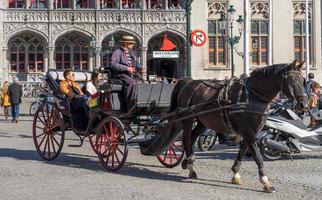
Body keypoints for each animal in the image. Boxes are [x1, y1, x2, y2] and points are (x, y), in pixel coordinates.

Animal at [169, 61, 306, 192]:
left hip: (203, 121)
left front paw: (236, 174)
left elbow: (242, 151)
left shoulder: (250, 132)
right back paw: (190, 166)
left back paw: (189, 163)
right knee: (187, 139)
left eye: (303, 80)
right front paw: (266, 181)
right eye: (291, 80)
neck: (251, 96)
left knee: (192, 138)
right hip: (188, 119)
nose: (303, 104)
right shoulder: (248, 132)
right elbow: (257, 156)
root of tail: (189, 82)